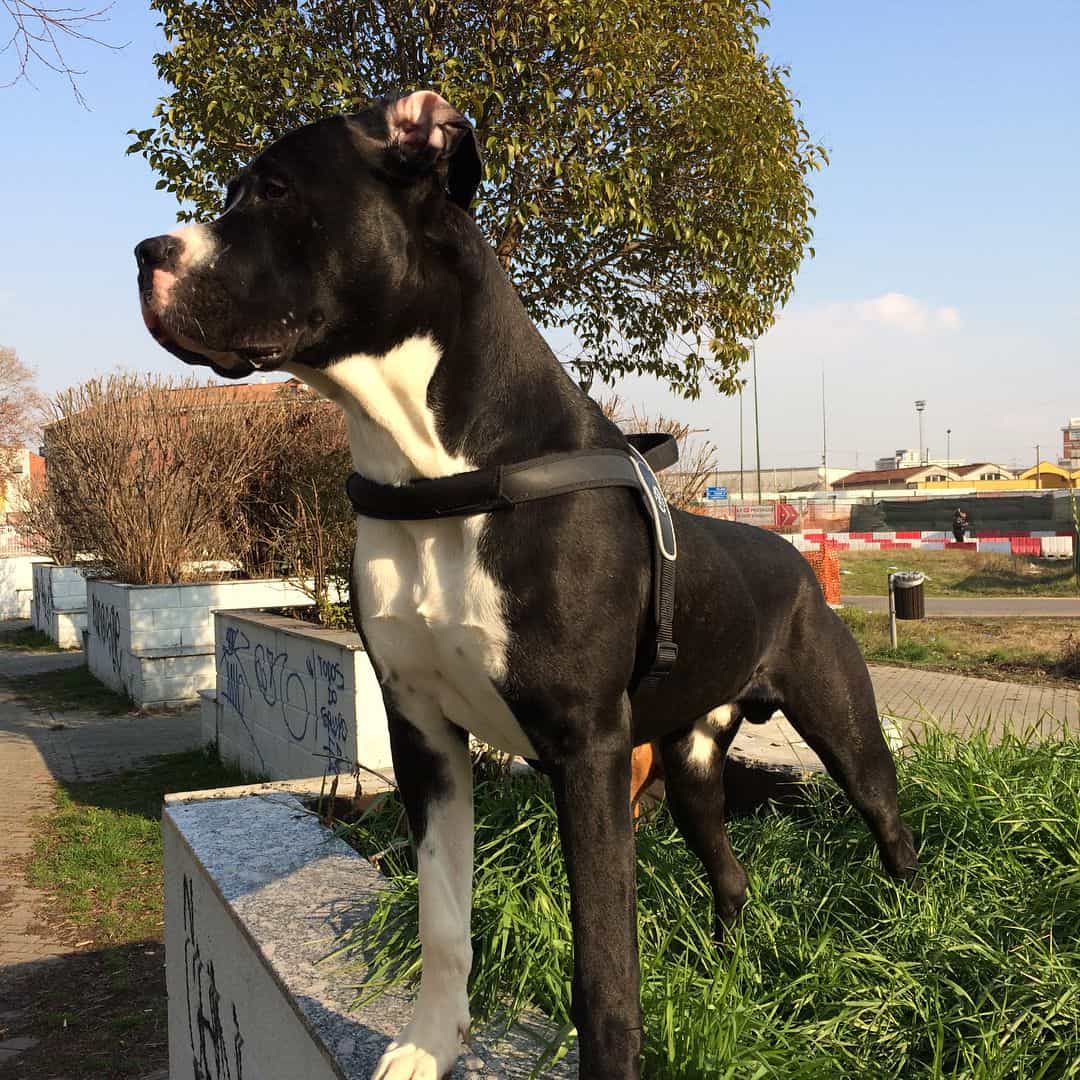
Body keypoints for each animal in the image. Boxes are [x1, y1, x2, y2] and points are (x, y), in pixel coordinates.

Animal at [132, 92, 911, 1080]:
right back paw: (734, 971)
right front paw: (427, 1047)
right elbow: (442, 923)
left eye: (273, 189)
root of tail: (796, 559)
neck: (438, 473)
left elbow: (605, 968)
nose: (144, 253)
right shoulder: (426, 737)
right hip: (694, 766)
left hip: (843, 730)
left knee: (891, 828)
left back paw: (914, 938)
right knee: (730, 875)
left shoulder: (586, 750)